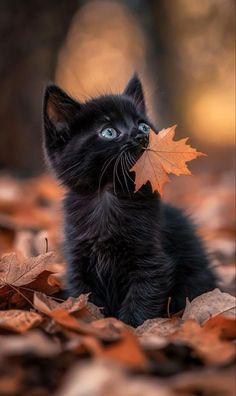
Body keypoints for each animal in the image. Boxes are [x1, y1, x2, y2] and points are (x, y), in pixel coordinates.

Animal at [42, 76, 216, 326]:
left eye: (143, 125)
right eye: (108, 132)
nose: (141, 136)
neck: (109, 195)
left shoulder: (151, 261)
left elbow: (142, 297)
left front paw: (130, 328)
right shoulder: (78, 259)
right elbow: (84, 295)